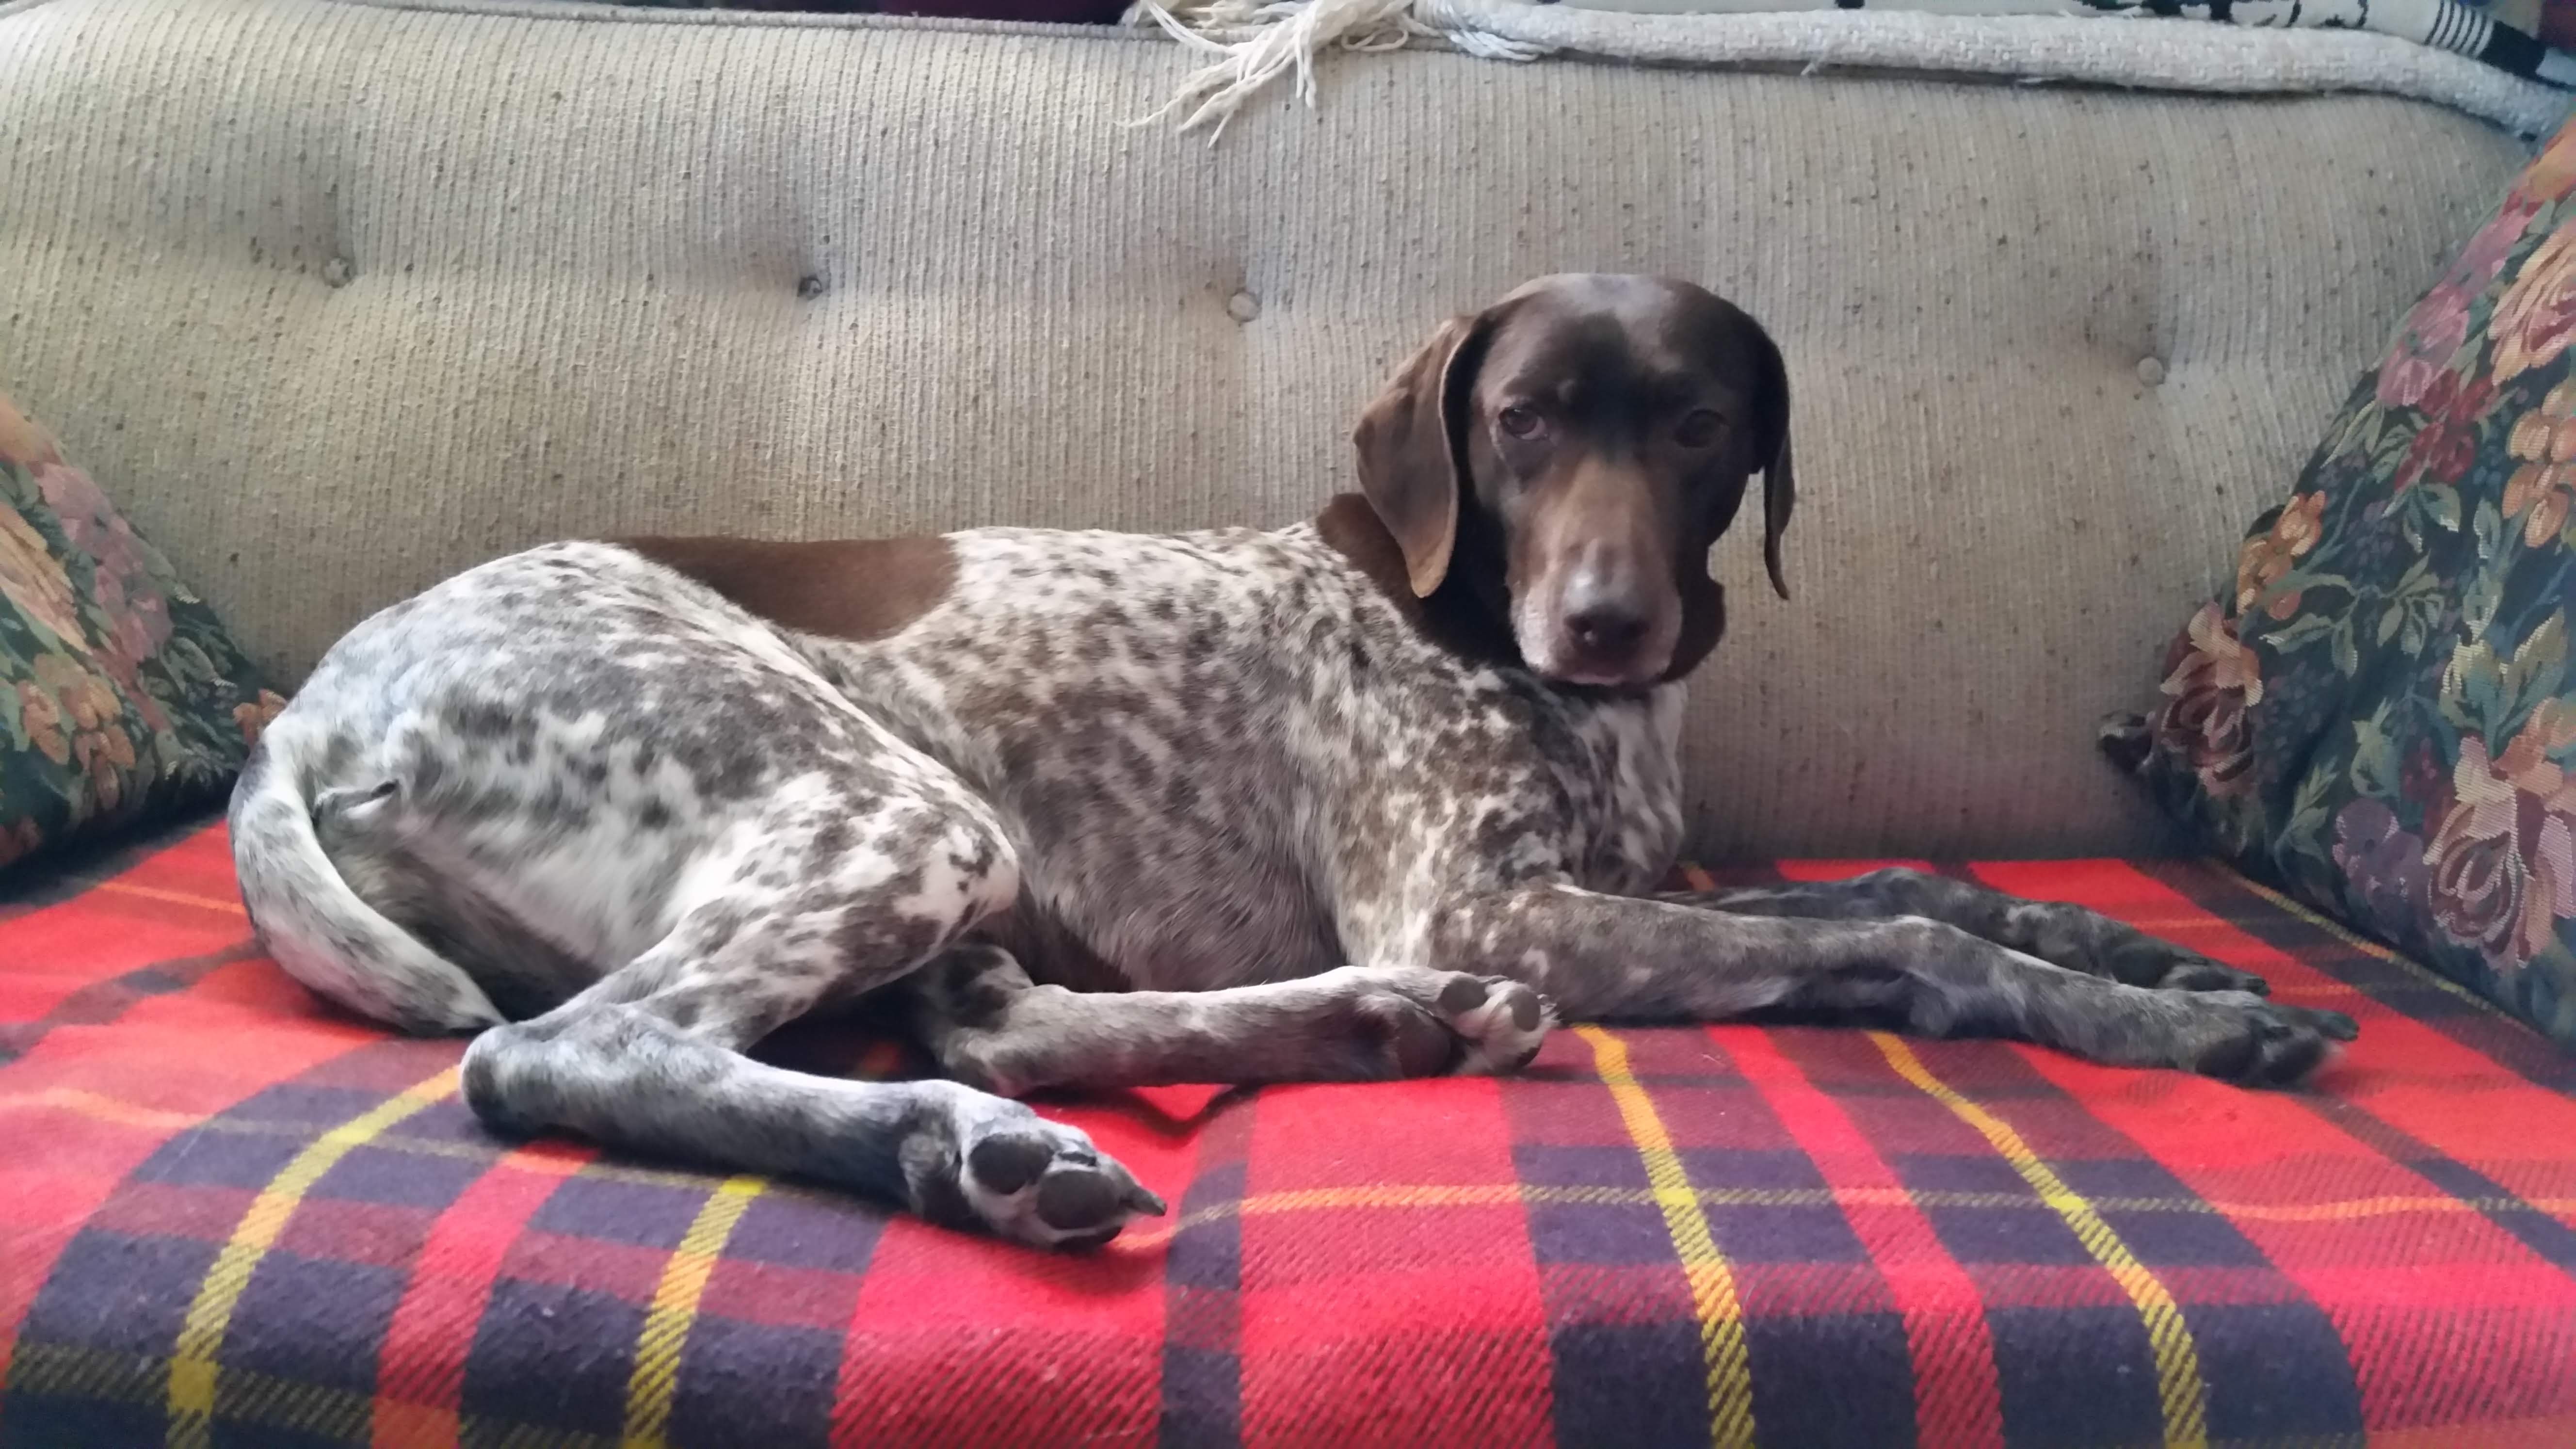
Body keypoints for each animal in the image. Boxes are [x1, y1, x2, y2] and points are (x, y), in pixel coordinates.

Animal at [237, 275, 2359, 1248]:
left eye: (1696, 425)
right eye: (1517, 422)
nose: (1606, 619)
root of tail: (315, 704)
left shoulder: (1613, 884)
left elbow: (1913, 880)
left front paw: (2151, 950)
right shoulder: (1495, 900)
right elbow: (1903, 944)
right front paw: (2170, 1019)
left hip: (946, 856)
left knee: (1001, 1021)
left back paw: (1347, 1033)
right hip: (890, 812)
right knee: (568, 1054)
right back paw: (958, 1151)